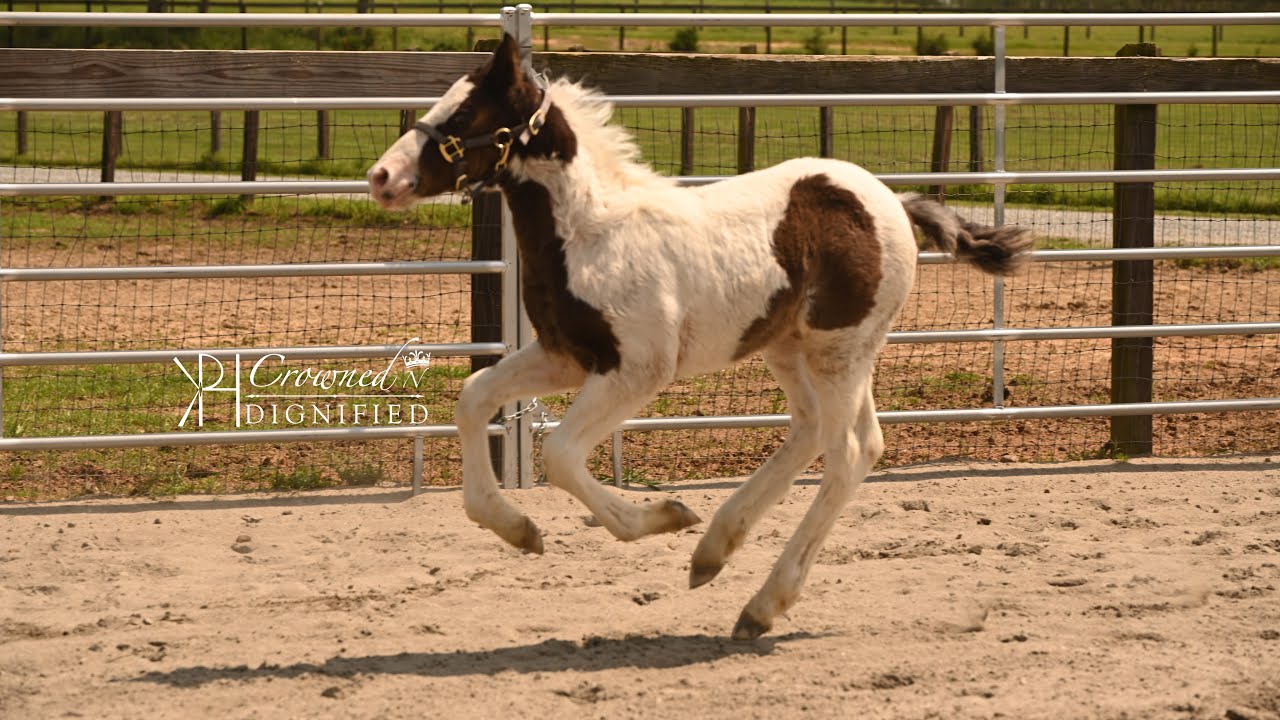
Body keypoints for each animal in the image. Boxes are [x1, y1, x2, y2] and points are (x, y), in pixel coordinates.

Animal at [367, 34, 1031, 640]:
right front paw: (519, 530)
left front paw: (663, 515)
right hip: (796, 348)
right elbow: (474, 396)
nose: (380, 176)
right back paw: (715, 551)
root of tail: (891, 199)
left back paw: (761, 604)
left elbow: (558, 454)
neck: (589, 232)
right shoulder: (565, 356)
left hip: (839, 349)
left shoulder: (636, 369)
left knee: (848, 453)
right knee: (819, 431)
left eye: (466, 115)